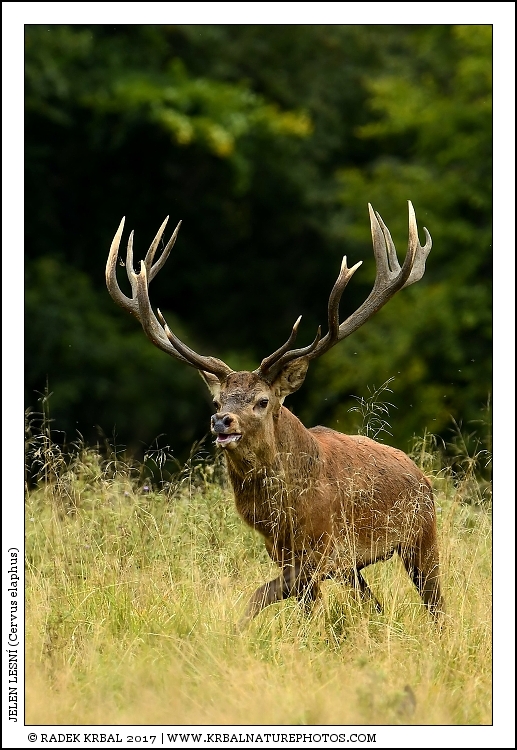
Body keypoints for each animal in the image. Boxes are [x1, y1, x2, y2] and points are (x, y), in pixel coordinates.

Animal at [106, 201, 444, 625]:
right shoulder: (287, 553)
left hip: (422, 535)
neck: (284, 511)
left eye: (262, 401)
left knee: (436, 605)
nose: (222, 421)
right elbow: (266, 601)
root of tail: (421, 475)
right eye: (216, 402)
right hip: (358, 565)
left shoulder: (321, 549)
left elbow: (274, 603)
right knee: (376, 604)